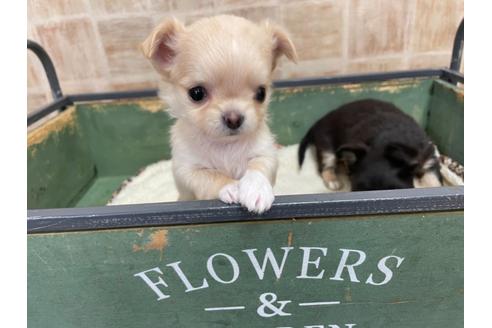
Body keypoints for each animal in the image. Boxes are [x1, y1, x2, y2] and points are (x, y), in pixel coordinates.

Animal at [140, 15, 298, 214]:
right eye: (196, 93)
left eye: (261, 93)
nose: (234, 118)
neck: (225, 146)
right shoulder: (187, 171)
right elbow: (211, 176)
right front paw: (231, 187)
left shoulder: (265, 154)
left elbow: (258, 167)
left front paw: (256, 189)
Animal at [298, 98, 444, 191]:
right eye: (357, 191)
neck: (385, 139)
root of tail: (319, 121)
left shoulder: (428, 157)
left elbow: (432, 178)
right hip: (327, 147)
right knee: (325, 167)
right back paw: (333, 181)